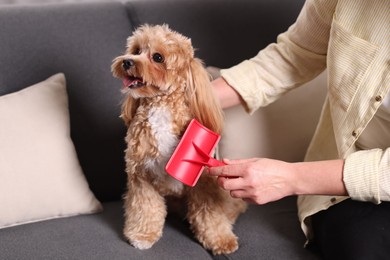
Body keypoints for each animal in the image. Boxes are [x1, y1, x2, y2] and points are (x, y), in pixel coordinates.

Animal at [111, 23, 247, 255]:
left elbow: (210, 213)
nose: (127, 61)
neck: (160, 107)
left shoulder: (203, 181)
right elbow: (145, 208)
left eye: (157, 57)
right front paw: (142, 235)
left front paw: (219, 239)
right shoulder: (140, 174)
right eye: (137, 50)